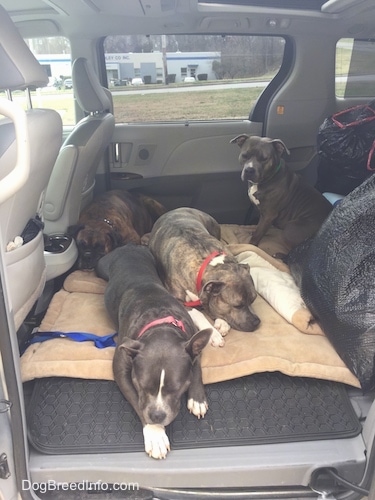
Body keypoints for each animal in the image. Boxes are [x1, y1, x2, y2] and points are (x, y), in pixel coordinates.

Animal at [148, 206, 262, 340]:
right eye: (237, 305)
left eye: (253, 299)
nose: (257, 322)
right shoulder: (178, 300)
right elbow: (198, 313)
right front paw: (214, 334)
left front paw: (222, 322)